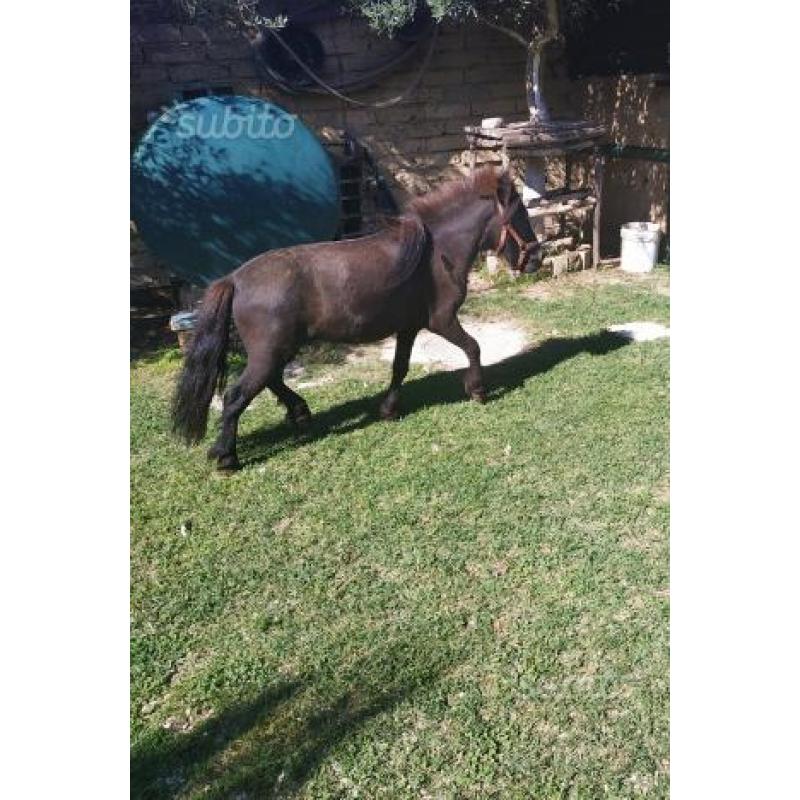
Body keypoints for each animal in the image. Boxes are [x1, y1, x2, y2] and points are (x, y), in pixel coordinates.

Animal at [171, 166, 540, 471]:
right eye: (520, 213)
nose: (537, 258)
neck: (436, 253)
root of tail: (234, 278)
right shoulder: (442, 320)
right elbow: (474, 347)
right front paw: (477, 389)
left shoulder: (409, 327)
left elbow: (400, 367)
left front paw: (389, 409)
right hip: (271, 351)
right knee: (236, 396)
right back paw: (226, 456)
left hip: (280, 348)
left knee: (271, 381)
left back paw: (300, 412)